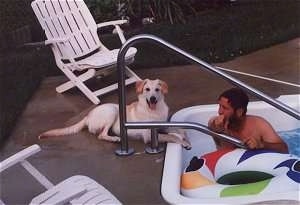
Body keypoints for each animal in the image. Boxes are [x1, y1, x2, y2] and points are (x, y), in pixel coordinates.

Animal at [38, 79, 191, 148]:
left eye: (157, 90)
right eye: (147, 89)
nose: (153, 98)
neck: (153, 110)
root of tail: (87, 116)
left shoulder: (163, 125)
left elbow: (178, 129)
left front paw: (186, 137)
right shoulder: (149, 135)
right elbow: (171, 136)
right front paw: (183, 142)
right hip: (112, 111)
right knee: (101, 135)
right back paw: (114, 139)